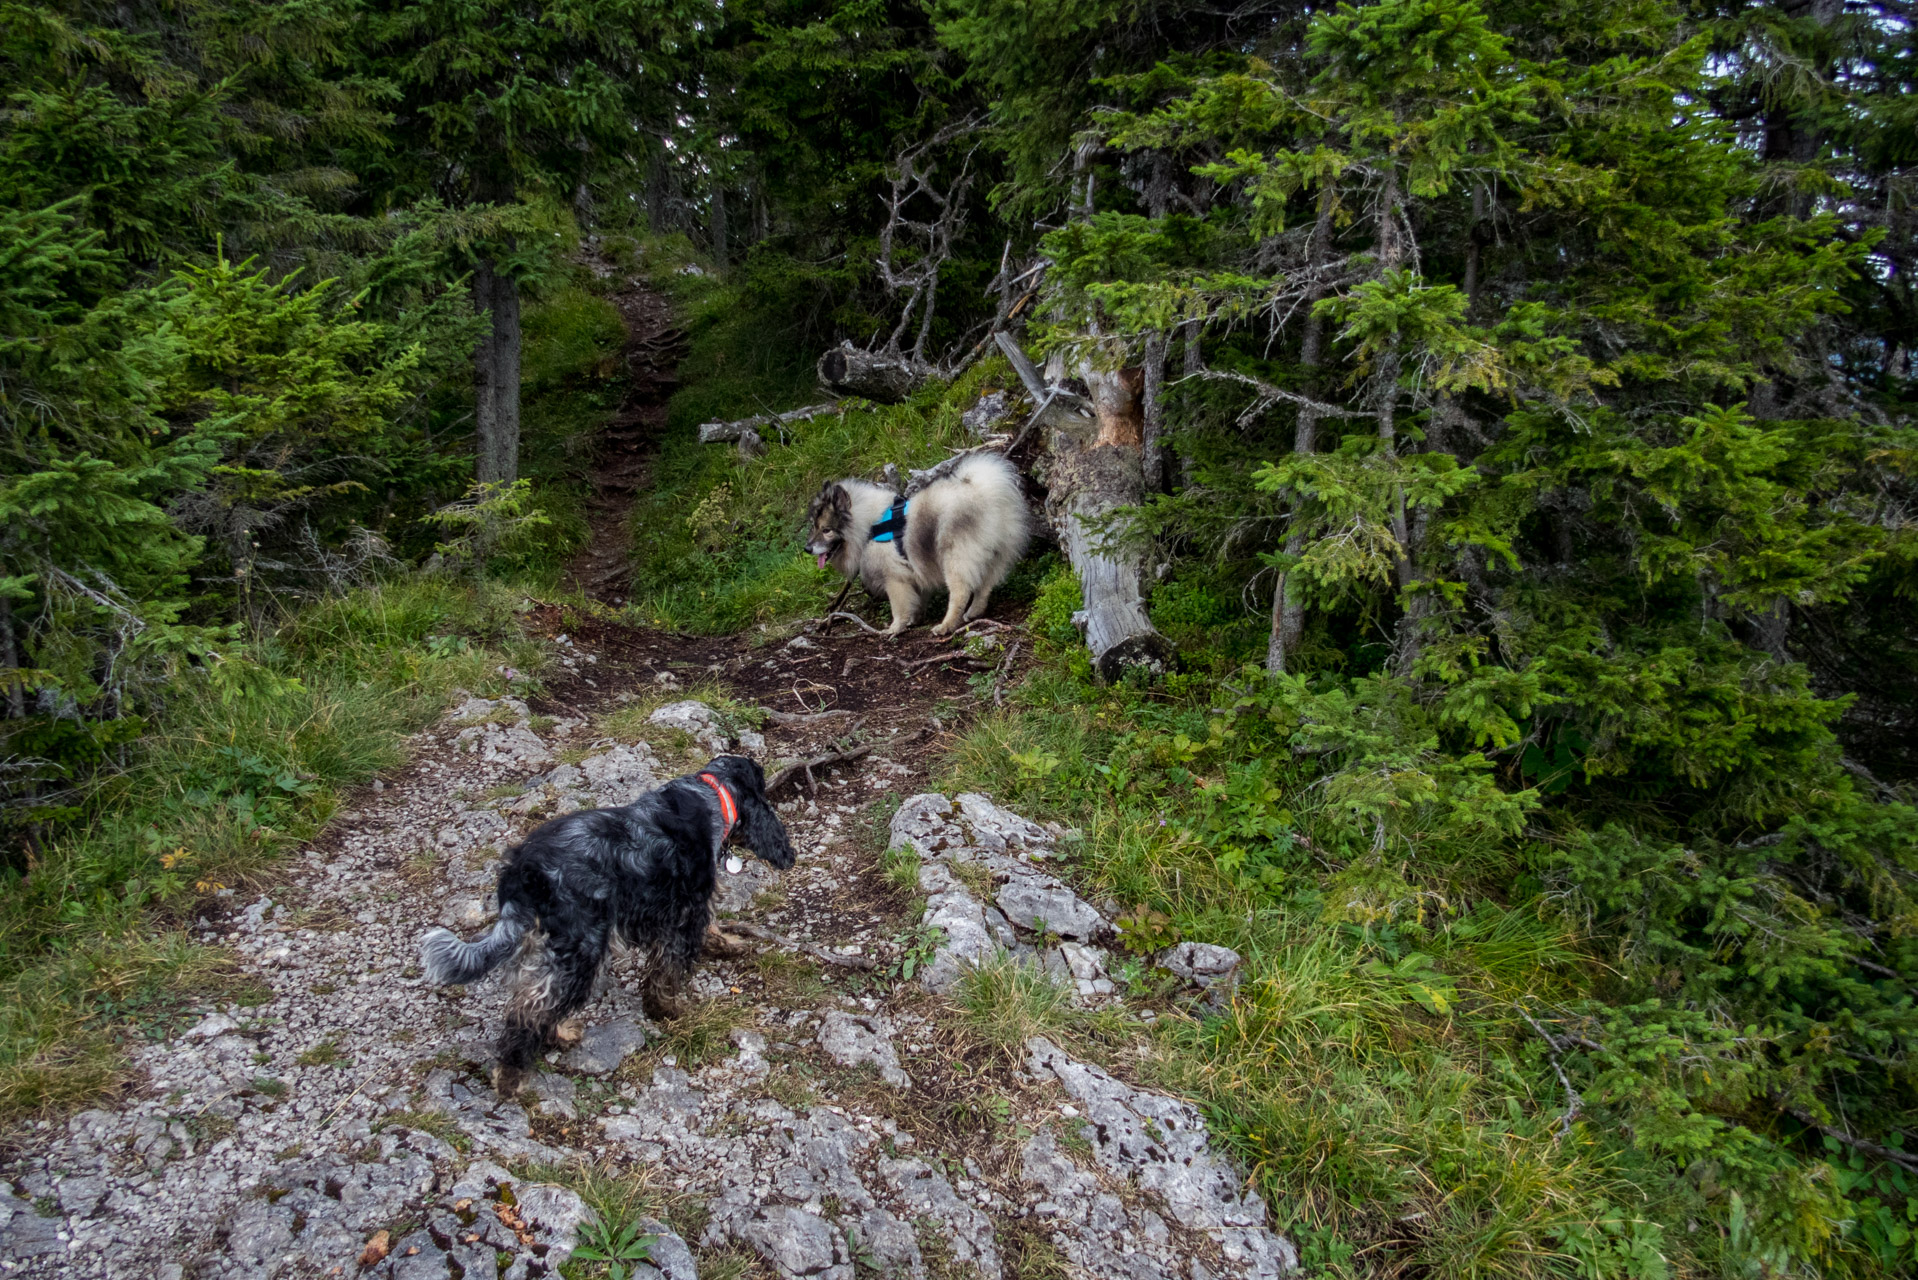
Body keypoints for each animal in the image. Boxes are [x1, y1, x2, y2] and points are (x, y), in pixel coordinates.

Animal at [420, 756, 794, 1097]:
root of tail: (523, 872)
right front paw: (670, 1010)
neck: (709, 794)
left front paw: (726, 944)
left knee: (528, 1000)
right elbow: (669, 972)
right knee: (531, 1012)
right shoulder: (683, 914)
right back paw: (512, 1078)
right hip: (582, 948)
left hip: (543, 945)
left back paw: (557, 1036)